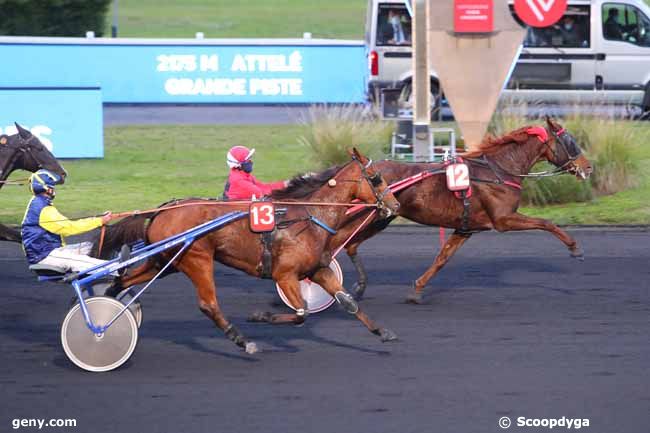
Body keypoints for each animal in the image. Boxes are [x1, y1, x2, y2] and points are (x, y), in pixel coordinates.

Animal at [97, 150, 400, 352]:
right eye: (375, 178)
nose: (395, 205)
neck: (309, 215)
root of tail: (160, 211)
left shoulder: (318, 269)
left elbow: (348, 302)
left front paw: (383, 331)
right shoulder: (285, 275)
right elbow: (301, 312)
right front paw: (260, 316)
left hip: (166, 261)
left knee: (124, 279)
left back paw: (109, 302)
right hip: (197, 258)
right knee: (208, 304)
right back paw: (242, 340)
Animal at [330, 116, 592, 302]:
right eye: (570, 141)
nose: (588, 167)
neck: (498, 171)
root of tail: (358, 171)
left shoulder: (466, 228)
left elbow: (442, 258)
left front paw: (417, 290)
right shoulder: (504, 220)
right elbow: (546, 223)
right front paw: (575, 248)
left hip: (382, 218)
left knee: (351, 245)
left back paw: (360, 286)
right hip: (368, 216)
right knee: (339, 242)